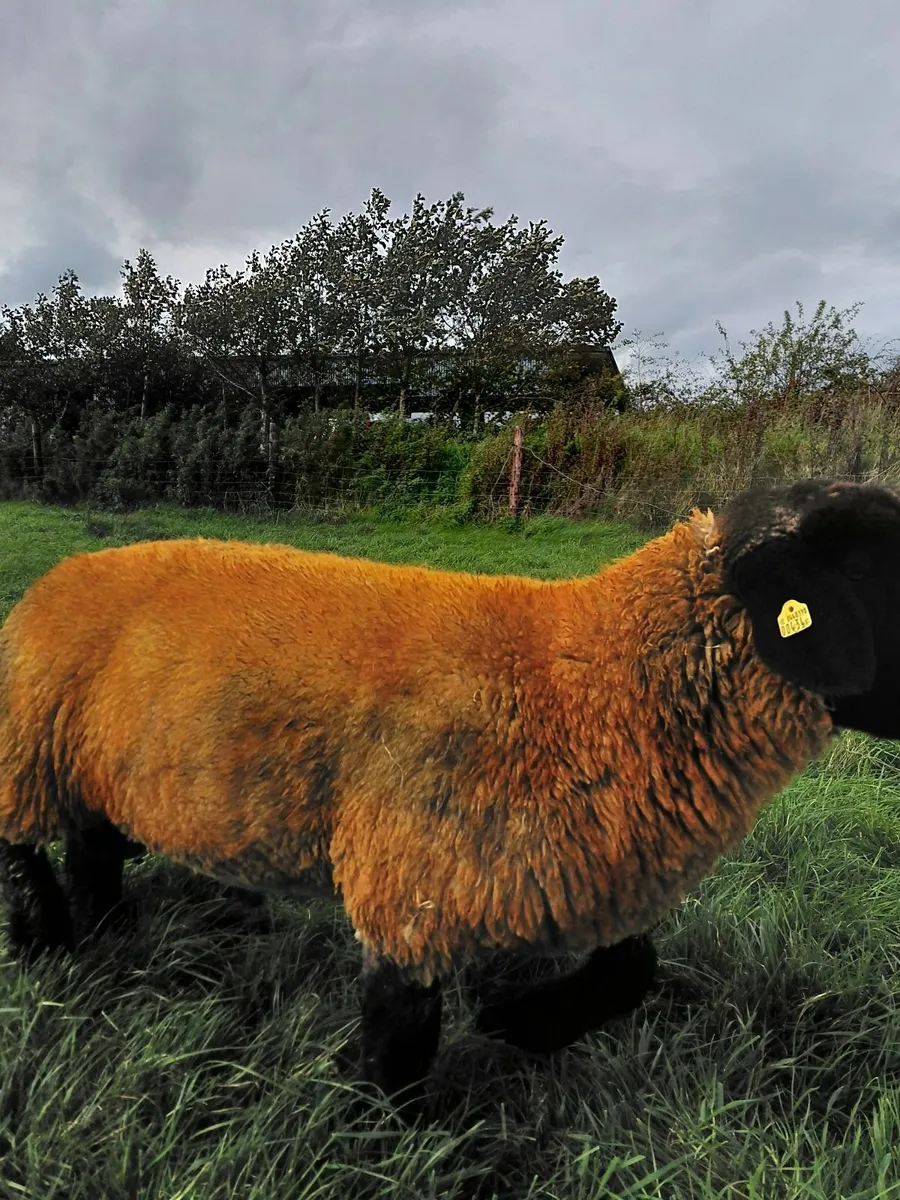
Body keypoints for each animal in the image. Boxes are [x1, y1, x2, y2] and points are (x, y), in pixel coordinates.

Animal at [1, 476, 900, 1106]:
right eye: (866, 566)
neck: (586, 686)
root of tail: (60, 572)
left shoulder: (574, 877)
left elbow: (633, 968)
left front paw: (519, 1024)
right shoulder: (414, 880)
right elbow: (400, 1039)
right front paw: (379, 1135)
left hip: (93, 766)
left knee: (90, 849)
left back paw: (109, 935)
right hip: (29, 747)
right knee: (25, 850)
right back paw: (48, 943)